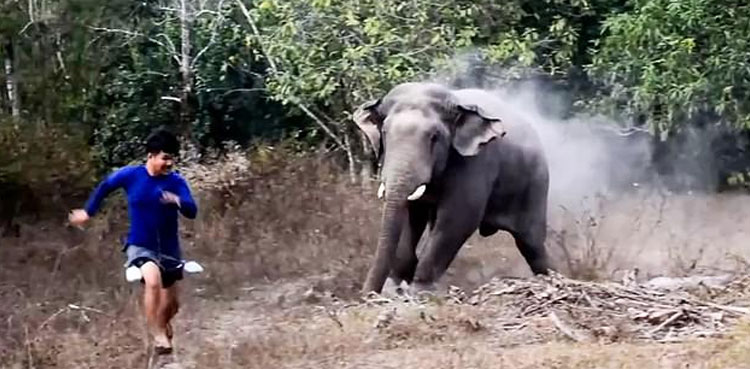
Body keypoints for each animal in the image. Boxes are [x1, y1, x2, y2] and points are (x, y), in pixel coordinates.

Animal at [352, 82, 552, 294]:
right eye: (384, 133)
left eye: (434, 137)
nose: (367, 294)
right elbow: (410, 215)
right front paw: (394, 289)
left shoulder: (476, 161)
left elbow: (458, 217)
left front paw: (420, 291)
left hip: (535, 185)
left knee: (532, 243)